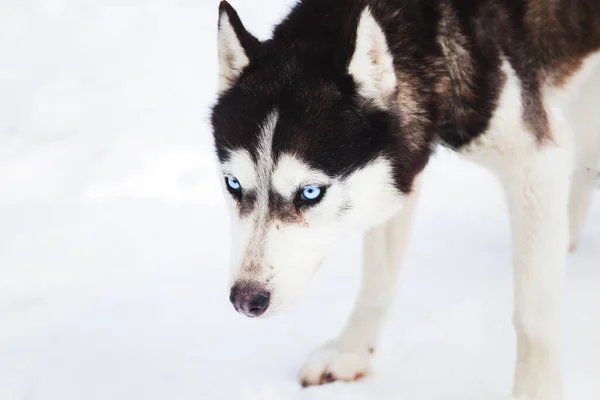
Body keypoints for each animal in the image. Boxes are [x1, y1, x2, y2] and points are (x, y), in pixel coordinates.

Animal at [211, 0, 600, 396]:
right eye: (233, 184)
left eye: (310, 192)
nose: (246, 300)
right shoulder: (395, 169)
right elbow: (377, 281)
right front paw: (351, 352)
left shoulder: (533, 162)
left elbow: (533, 312)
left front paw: (535, 392)